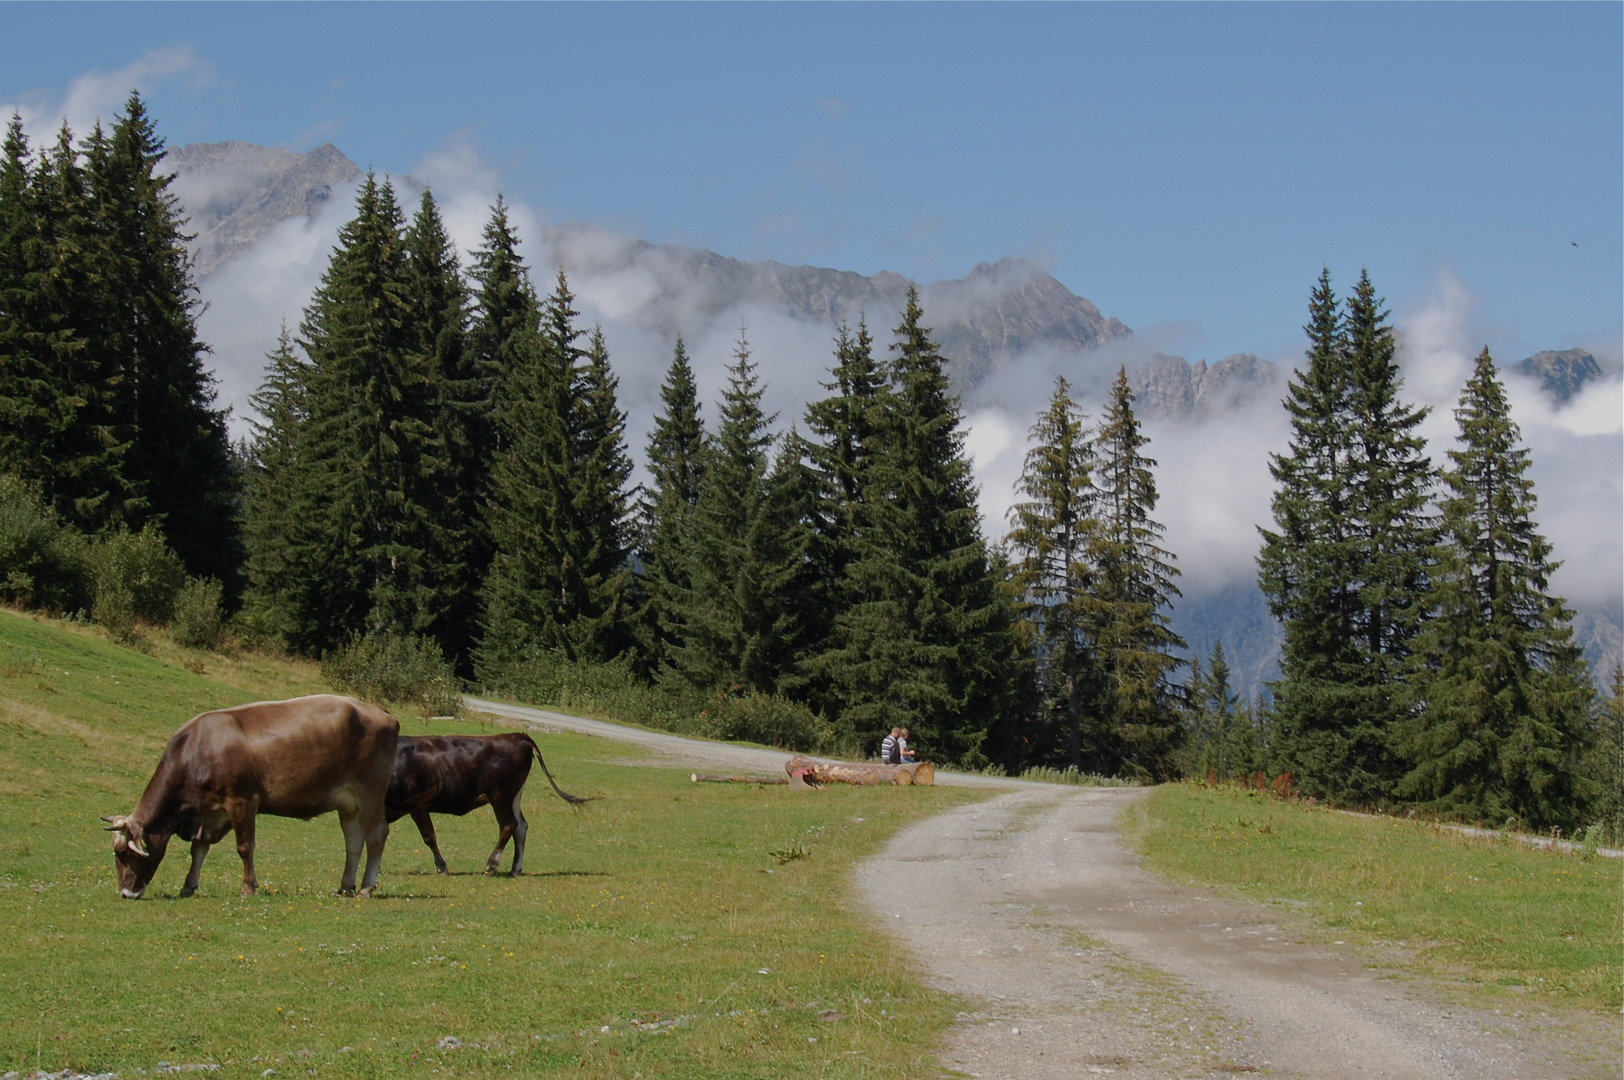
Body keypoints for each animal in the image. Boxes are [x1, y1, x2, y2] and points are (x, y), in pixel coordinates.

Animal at [102, 695, 399, 896]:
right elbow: (198, 849)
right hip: (348, 803)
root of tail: (379, 711)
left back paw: (366, 888)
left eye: (123, 853)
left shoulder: (242, 801)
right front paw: (188, 886)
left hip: (371, 792)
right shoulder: (209, 814)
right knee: (353, 840)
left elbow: (244, 847)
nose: (125, 893)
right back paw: (345, 886)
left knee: (376, 835)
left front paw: (248, 887)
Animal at [389, 734, 587, 876]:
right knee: (521, 826)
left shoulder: (419, 806)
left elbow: (429, 837)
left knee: (509, 825)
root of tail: (516, 736)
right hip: (513, 797)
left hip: (501, 796)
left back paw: (492, 865)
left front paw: (442, 867)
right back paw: (515, 869)